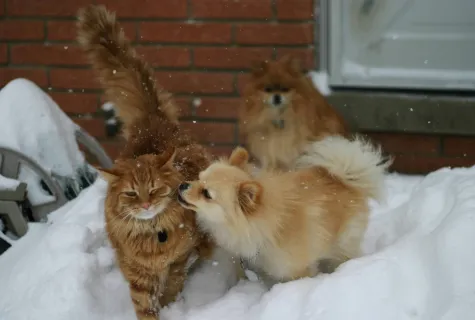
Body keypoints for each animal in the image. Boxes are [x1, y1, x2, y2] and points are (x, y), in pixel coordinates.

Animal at [77, 5, 214, 320]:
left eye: (154, 189)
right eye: (130, 193)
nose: (146, 204)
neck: (154, 235)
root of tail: (152, 121)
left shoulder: (179, 259)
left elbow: (172, 285)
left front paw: (171, 305)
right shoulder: (137, 274)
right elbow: (146, 305)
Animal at [178, 135, 390, 284]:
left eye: (206, 194)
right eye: (198, 178)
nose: (182, 185)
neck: (261, 228)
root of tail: (345, 179)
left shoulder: (297, 271)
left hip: (343, 245)